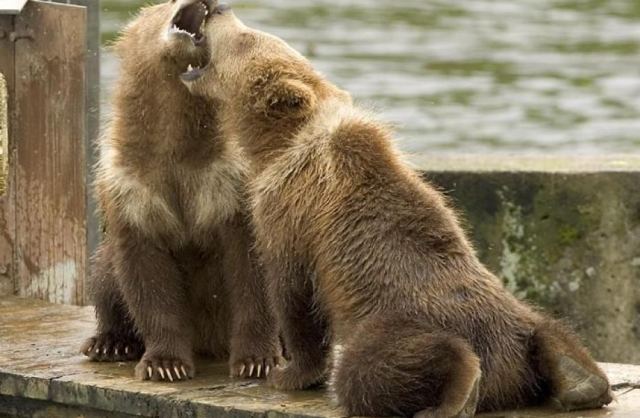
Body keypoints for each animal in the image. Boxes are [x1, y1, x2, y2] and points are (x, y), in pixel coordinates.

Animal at [80, 0, 280, 382]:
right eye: (161, 4)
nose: (213, 4)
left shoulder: (229, 183)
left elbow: (250, 271)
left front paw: (257, 359)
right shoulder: (132, 186)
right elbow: (147, 277)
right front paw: (165, 363)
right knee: (104, 276)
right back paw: (109, 342)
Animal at [182, 5, 613, 416]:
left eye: (247, 38)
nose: (218, 9)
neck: (275, 145)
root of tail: (506, 374)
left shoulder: (288, 212)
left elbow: (293, 294)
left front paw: (287, 373)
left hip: (391, 320)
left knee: (370, 369)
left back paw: (462, 386)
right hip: (514, 317)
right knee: (549, 328)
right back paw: (582, 383)